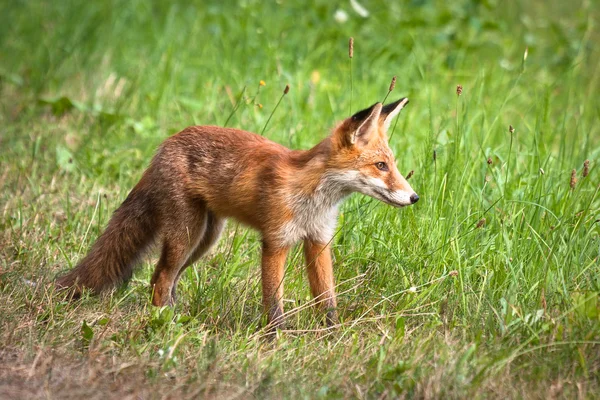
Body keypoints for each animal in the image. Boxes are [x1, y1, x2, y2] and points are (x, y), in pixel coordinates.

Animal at [56, 97, 418, 328]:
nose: (414, 197)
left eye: (392, 164)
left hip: (204, 239)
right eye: (381, 166)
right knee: (160, 279)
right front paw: (276, 340)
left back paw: (178, 318)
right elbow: (273, 301)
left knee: (164, 279)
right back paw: (165, 325)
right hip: (186, 235)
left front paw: (332, 336)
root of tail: (166, 143)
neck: (312, 197)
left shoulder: (318, 241)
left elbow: (326, 300)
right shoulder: (275, 241)